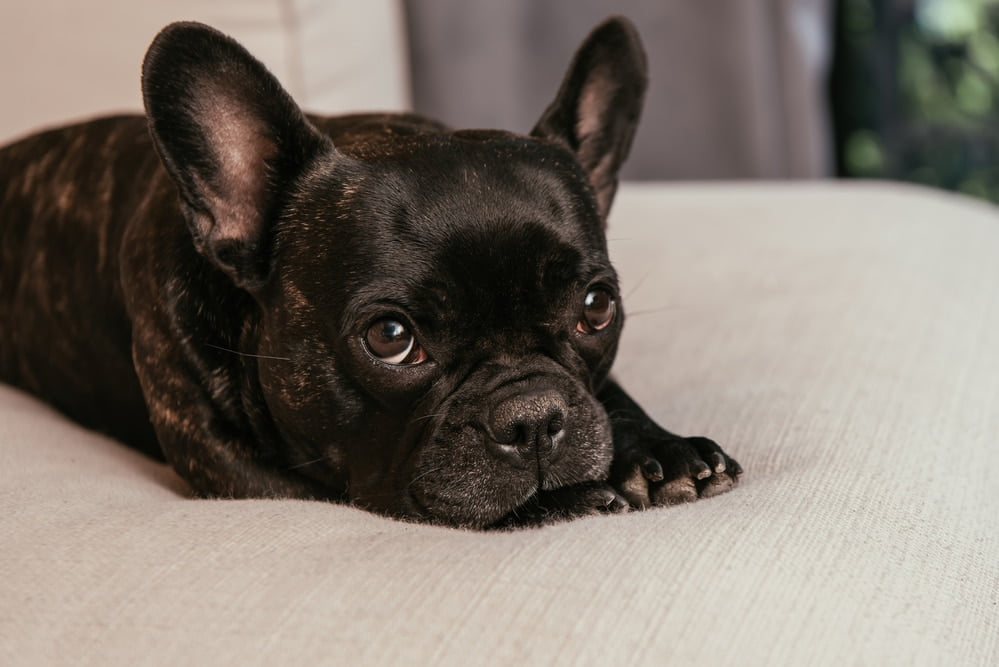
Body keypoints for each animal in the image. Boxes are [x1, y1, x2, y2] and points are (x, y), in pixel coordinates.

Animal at [0, 17, 736, 528]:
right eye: (389, 336)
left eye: (596, 306)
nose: (534, 415)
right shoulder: (243, 475)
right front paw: (573, 497)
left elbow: (608, 392)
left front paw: (663, 449)